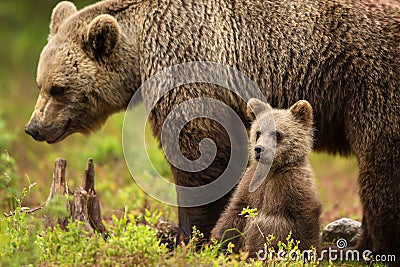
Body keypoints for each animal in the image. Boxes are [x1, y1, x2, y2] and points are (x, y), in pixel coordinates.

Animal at [25, 0, 400, 262]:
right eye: (40, 83)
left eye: (58, 88)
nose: (34, 127)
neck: (142, 51)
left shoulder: (190, 64)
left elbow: (200, 154)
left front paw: (191, 235)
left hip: (374, 84)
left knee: (380, 170)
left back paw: (367, 246)